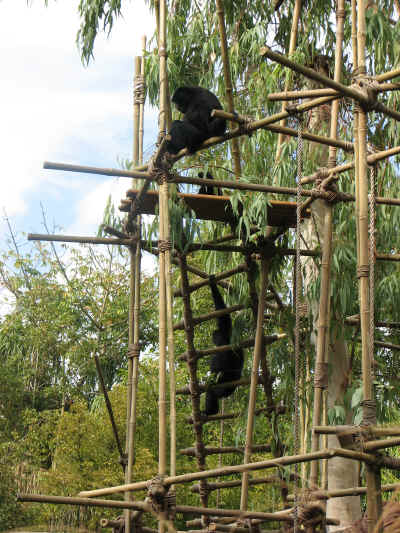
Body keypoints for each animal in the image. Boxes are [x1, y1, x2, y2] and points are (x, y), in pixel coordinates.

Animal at [205, 278, 245, 416]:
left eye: (215, 336)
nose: (213, 337)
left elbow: (223, 317)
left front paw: (212, 283)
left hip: (223, 388)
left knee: (211, 390)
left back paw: (210, 411)